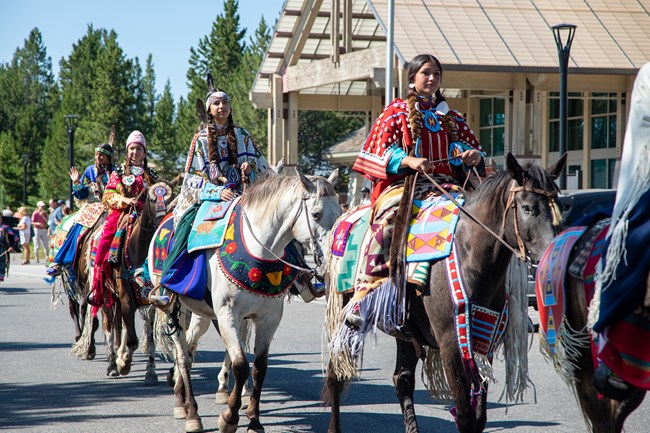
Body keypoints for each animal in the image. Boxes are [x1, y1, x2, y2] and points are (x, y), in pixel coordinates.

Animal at [147, 170, 340, 432]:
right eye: (316, 214)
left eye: (340, 213)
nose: (332, 260)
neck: (260, 249)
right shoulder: (228, 314)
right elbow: (240, 365)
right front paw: (229, 418)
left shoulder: (269, 319)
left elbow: (259, 367)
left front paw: (254, 420)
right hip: (173, 308)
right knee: (183, 356)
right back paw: (190, 412)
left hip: (201, 314)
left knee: (190, 347)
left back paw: (180, 396)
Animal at [322, 154, 560, 432]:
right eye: (528, 208)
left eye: (559, 205)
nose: (551, 257)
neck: (470, 257)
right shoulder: (450, 344)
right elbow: (466, 415)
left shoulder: (483, 342)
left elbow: (478, 416)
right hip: (342, 315)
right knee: (336, 375)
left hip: (404, 330)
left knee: (402, 380)